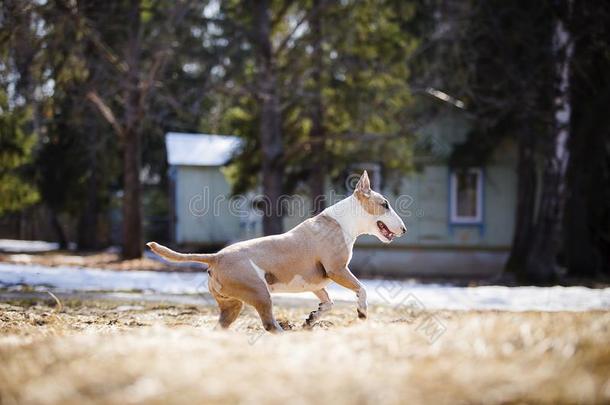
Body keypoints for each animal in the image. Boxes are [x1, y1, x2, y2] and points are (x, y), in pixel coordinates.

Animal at [147, 170, 404, 332]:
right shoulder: (337, 270)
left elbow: (328, 302)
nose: (404, 229)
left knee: (221, 326)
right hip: (260, 293)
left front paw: (312, 319)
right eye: (385, 204)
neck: (342, 222)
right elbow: (361, 289)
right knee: (269, 324)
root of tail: (216, 257)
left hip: (233, 304)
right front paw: (362, 313)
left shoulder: (316, 281)